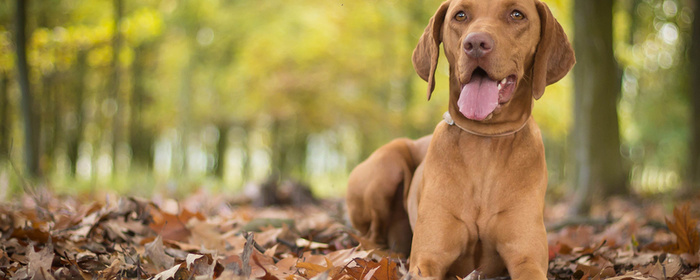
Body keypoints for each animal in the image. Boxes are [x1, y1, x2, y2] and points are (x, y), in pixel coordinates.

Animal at [346, 0, 576, 278]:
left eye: (517, 14)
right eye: (460, 15)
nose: (475, 43)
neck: (486, 140)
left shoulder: (527, 258)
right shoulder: (427, 258)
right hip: (388, 165)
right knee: (370, 236)